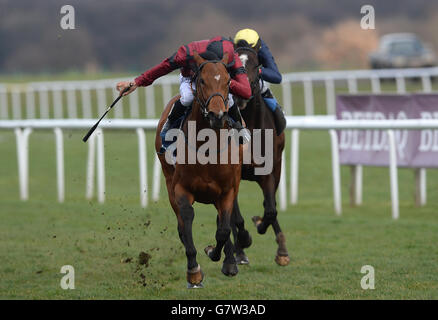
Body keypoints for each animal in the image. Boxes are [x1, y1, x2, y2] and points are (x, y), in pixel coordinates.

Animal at [154, 50, 243, 288]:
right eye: (202, 80)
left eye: (228, 81)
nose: (217, 115)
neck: (208, 146)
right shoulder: (181, 189)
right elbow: (186, 219)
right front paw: (194, 271)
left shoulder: (228, 190)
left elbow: (224, 228)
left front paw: (219, 255)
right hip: (168, 181)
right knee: (181, 224)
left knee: (224, 221)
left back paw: (230, 261)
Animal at [233, 43, 290, 266]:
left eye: (257, 65)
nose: (241, 94)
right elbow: (235, 216)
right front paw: (242, 243)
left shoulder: (268, 172)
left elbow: (271, 209)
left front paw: (259, 223)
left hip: (278, 167)